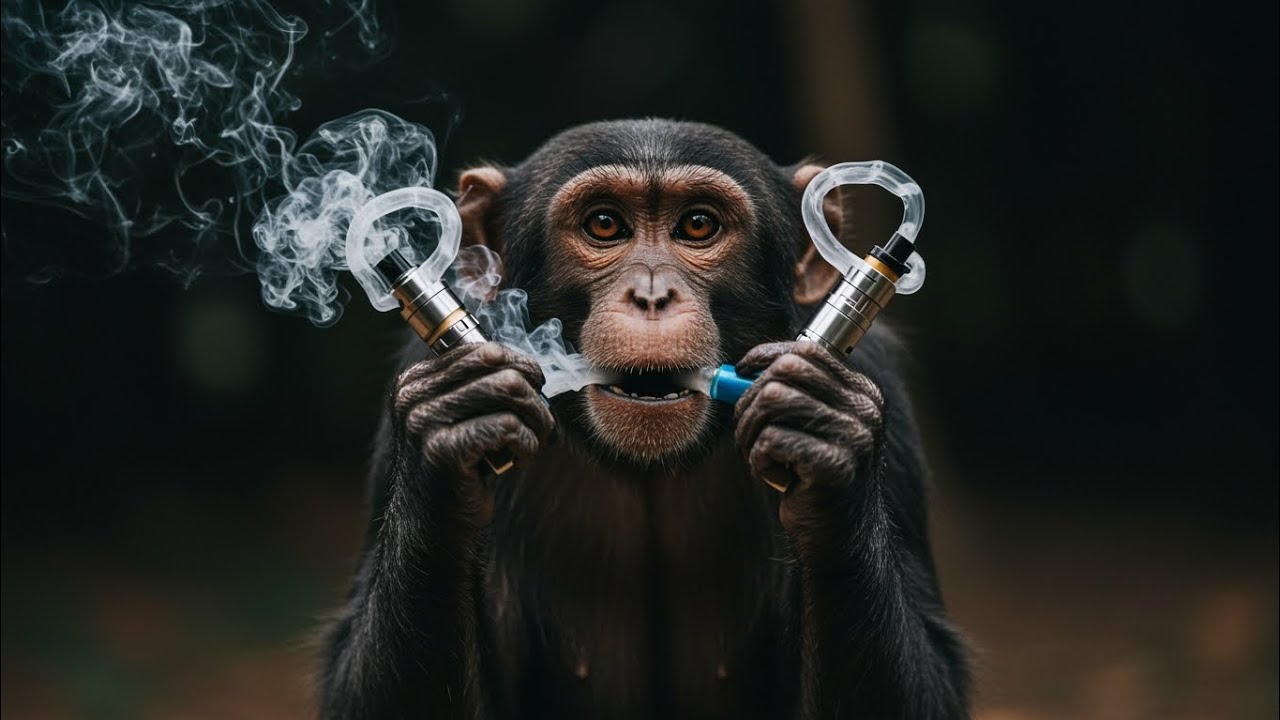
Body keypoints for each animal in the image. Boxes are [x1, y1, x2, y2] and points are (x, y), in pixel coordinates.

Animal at [321, 119, 970, 719]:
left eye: (698, 225)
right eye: (605, 225)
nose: (652, 294)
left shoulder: (880, 381)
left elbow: (930, 684)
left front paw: (823, 421)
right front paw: (452, 417)